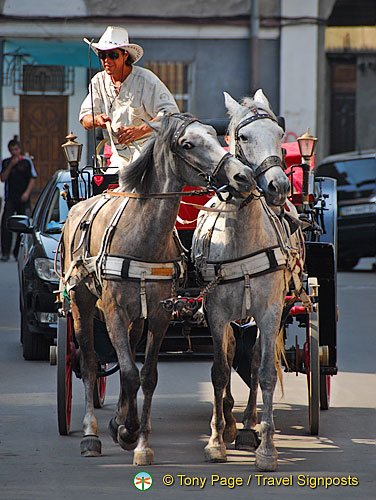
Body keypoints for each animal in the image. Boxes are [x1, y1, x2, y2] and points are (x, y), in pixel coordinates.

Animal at [60, 112, 256, 464]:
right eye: (187, 144)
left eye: (213, 134)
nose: (243, 175)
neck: (142, 235)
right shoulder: (113, 312)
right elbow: (127, 371)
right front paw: (128, 431)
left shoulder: (159, 314)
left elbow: (146, 376)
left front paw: (137, 439)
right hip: (82, 303)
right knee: (89, 361)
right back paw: (91, 434)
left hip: (137, 319)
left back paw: (118, 419)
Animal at [191, 92, 306, 470]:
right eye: (243, 137)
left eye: (280, 135)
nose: (279, 187)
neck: (240, 239)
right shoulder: (215, 312)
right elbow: (219, 370)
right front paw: (216, 440)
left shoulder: (270, 311)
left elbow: (266, 372)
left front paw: (265, 447)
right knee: (229, 354)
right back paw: (228, 421)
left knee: (254, 362)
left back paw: (248, 422)